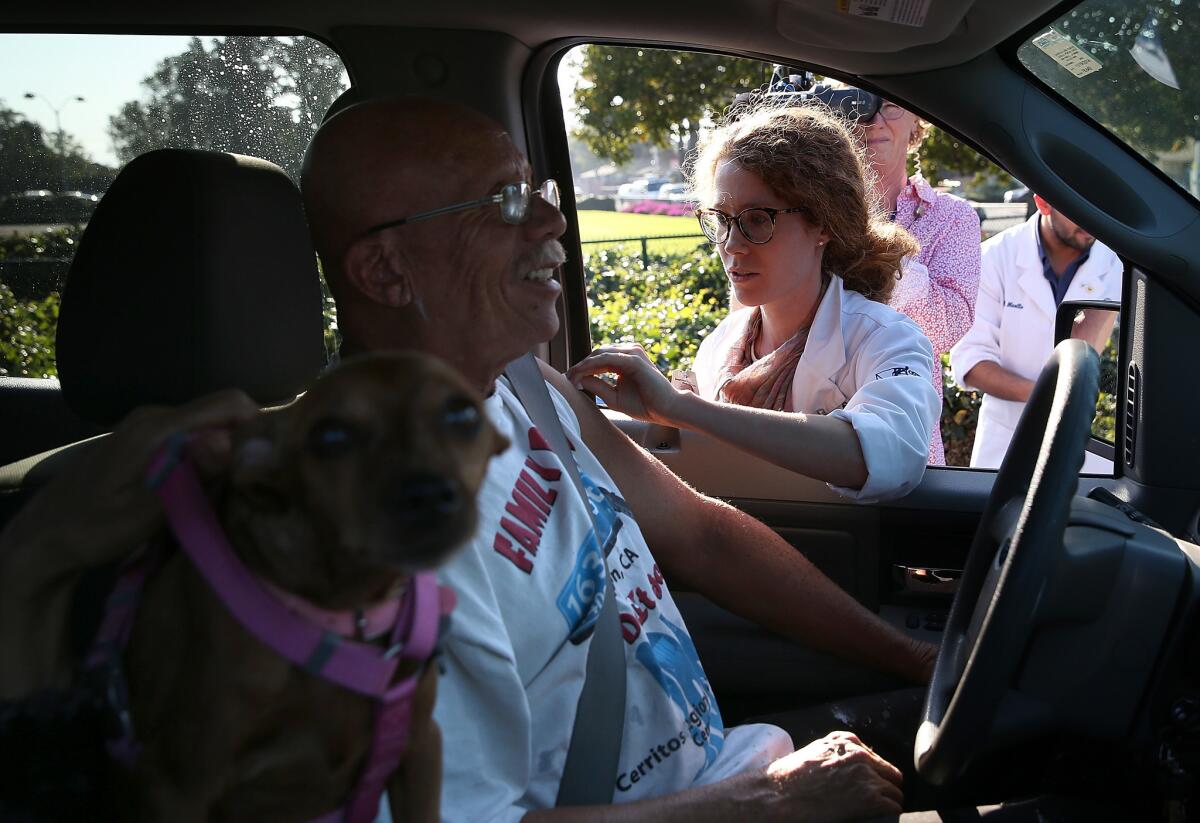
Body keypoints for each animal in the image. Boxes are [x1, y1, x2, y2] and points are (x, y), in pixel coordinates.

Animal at [113, 355, 506, 823]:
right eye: (330, 436)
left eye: (464, 415)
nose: (426, 494)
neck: (346, 621)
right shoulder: (172, 785)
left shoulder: (420, 745)